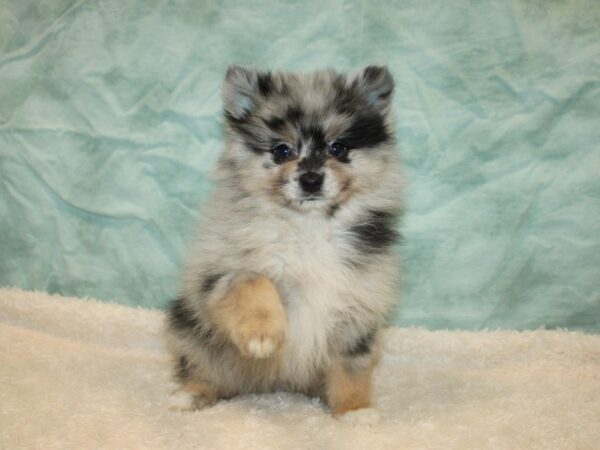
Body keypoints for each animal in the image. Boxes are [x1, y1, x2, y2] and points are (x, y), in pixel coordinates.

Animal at [165, 66, 404, 422]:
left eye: (338, 148)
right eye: (282, 151)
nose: (311, 179)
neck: (310, 226)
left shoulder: (358, 307)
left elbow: (351, 367)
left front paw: (354, 408)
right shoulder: (216, 272)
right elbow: (252, 280)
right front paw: (262, 334)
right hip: (188, 327)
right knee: (202, 367)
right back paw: (190, 395)